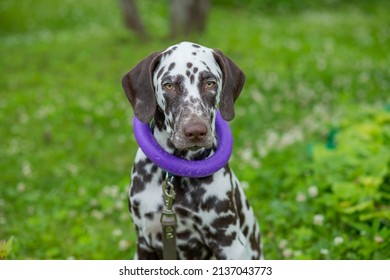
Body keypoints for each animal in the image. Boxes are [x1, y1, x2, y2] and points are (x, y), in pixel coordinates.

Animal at [120, 42, 264, 260]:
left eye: (210, 83)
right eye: (169, 85)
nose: (195, 131)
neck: (175, 175)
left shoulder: (228, 244)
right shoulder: (145, 243)